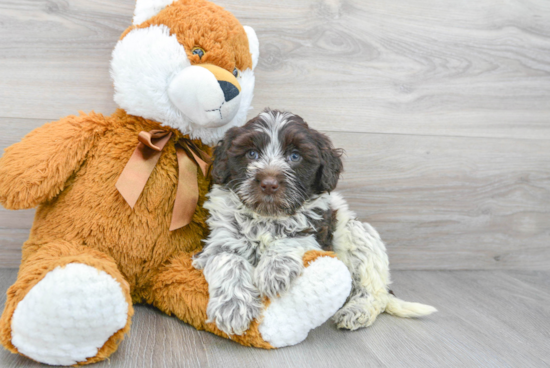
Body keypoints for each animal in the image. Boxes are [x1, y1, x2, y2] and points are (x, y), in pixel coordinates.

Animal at [192, 108, 438, 336]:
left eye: (295, 156)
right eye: (251, 153)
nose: (269, 184)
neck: (268, 217)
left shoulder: (318, 230)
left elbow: (293, 237)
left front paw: (274, 270)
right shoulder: (220, 240)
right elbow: (228, 260)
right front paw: (232, 307)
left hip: (357, 233)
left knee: (372, 292)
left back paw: (356, 311)